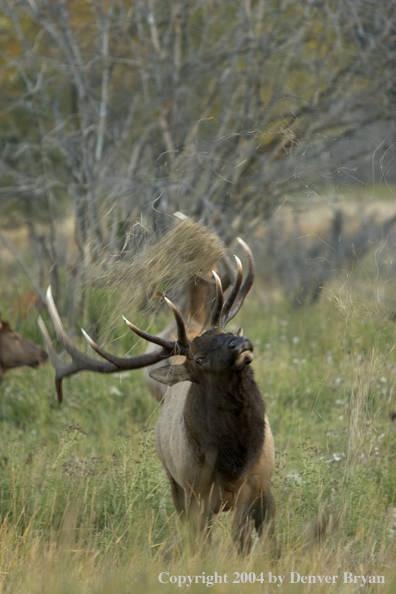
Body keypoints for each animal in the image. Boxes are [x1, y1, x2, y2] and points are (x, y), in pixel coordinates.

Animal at [39, 237, 276, 552]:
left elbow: (253, 543)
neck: (232, 464)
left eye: (226, 332)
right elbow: (204, 544)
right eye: (199, 359)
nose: (241, 344)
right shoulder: (196, 494)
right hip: (174, 481)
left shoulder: (259, 487)